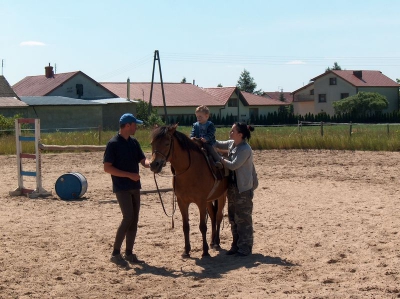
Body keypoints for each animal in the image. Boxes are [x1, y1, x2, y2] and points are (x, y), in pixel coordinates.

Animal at [149, 124, 227, 258]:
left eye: (167, 143)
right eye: (152, 143)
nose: (154, 164)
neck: (189, 171)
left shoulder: (201, 202)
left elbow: (202, 226)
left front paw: (205, 251)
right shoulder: (182, 202)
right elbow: (186, 226)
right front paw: (186, 251)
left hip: (222, 196)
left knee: (218, 216)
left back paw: (216, 243)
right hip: (209, 200)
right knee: (212, 216)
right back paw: (212, 242)